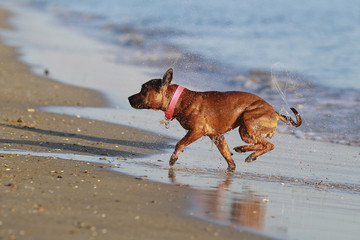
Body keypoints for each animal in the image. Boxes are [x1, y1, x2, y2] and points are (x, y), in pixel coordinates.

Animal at [129, 68, 300, 172]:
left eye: (143, 89)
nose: (129, 98)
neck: (178, 100)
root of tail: (274, 112)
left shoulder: (197, 131)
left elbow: (180, 143)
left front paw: (174, 158)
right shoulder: (216, 136)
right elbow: (225, 153)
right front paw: (231, 167)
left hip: (248, 124)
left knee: (268, 145)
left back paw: (248, 153)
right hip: (246, 130)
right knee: (262, 144)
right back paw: (245, 150)